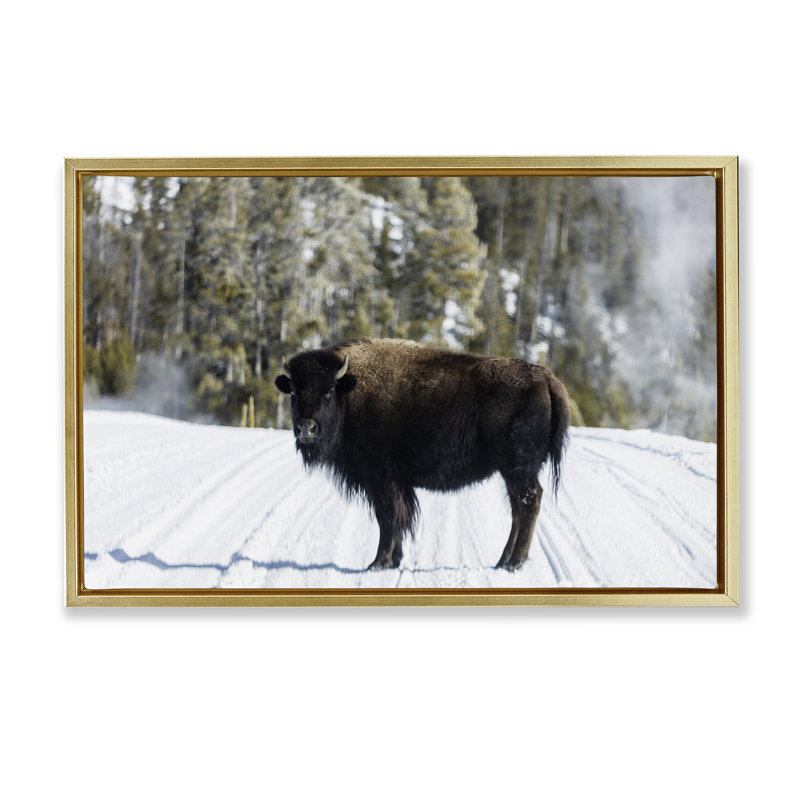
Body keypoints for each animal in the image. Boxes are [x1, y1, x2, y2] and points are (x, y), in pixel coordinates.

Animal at [275, 338, 570, 571]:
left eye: (328, 391)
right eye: (294, 391)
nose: (306, 428)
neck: (350, 393)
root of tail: (546, 379)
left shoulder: (382, 481)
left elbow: (388, 520)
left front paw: (378, 563)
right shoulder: (396, 485)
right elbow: (397, 520)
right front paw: (393, 560)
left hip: (518, 469)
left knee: (528, 503)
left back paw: (513, 563)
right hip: (511, 473)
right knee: (518, 510)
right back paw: (503, 561)